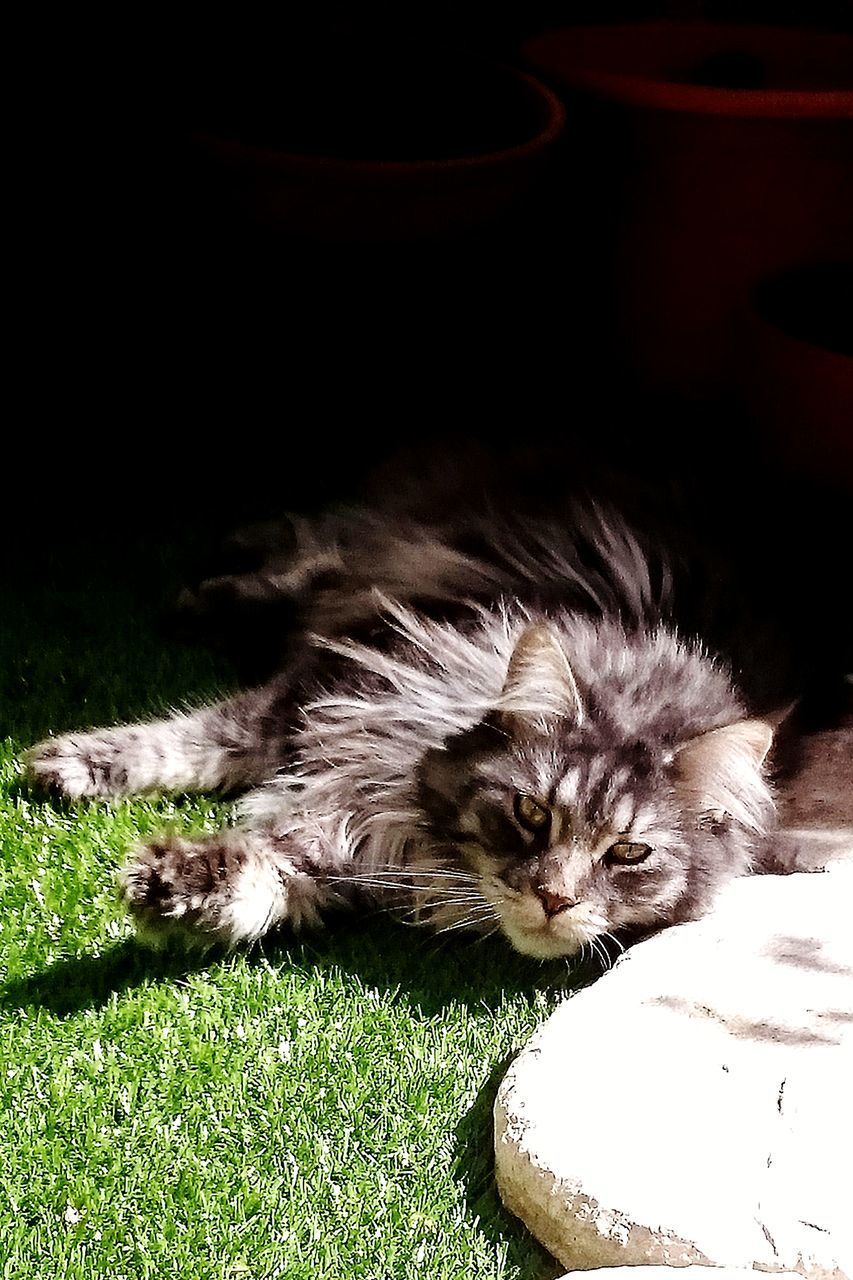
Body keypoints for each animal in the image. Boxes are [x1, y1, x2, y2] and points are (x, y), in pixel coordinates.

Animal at [23, 450, 840, 962]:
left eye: (629, 854)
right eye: (532, 813)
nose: (553, 899)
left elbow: (271, 873)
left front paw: (184, 888)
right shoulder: (332, 690)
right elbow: (195, 740)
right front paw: (69, 765)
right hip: (367, 555)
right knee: (295, 550)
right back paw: (202, 594)